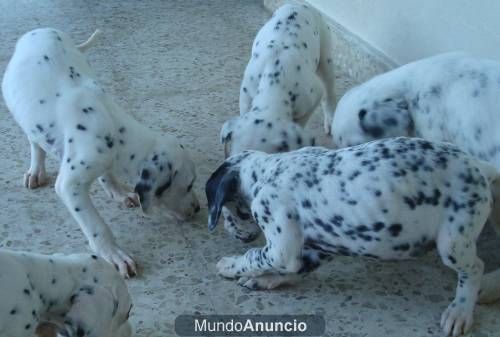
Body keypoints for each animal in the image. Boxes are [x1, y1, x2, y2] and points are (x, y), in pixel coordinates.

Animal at [2, 28, 201, 276]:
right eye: (190, 184)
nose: (198, 208)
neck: (112, 125)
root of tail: (40, 30)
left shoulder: (103, 160)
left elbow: (107, 176)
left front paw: (118, 192)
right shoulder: (70, 185)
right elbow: (96, 225)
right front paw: (114, 253)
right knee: (34, 142)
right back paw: (36, 170)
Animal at [206, 137, 500, 336]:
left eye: (228, 213)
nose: (233, 233)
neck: (267, 172)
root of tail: (479, 167)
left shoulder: (281, 249)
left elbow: (254, 256)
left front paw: (230, 265)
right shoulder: (320, 245)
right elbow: (296, 268)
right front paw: (266, 279)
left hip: (452, 242)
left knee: (475, 268)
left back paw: (461, 310)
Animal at [220, 2, 334, 158]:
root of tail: (298, 4)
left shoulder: (313, 96)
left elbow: (302, 121)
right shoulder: (245, 96)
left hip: (326, 59)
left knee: (329, 92)